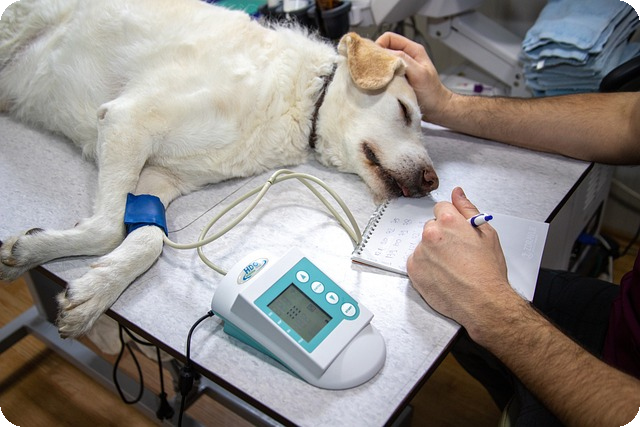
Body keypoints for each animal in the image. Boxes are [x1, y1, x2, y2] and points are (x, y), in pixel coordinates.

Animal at [0, 0, 438, 338]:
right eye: (404, 111)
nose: (433, 182)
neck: (300, 98)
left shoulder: (160, 178)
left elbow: (149, 239)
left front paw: (92, 287)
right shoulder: (128, 120)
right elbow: (108, 228)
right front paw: (39, 253)